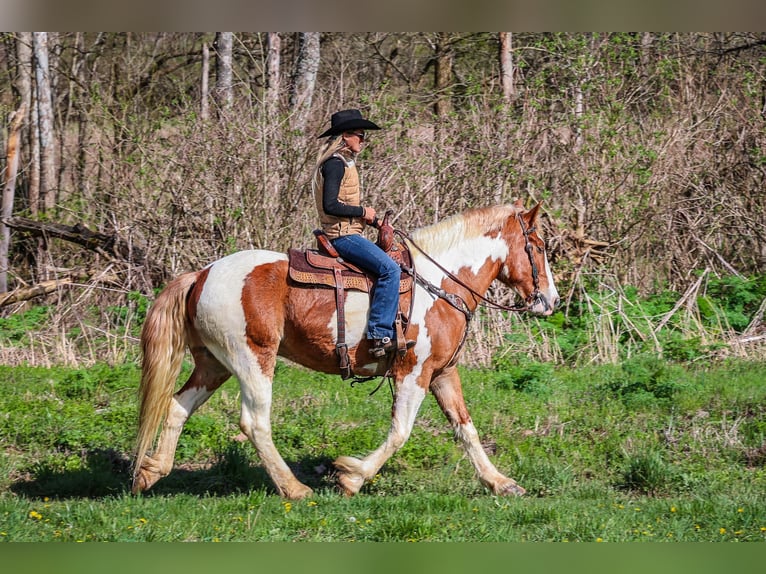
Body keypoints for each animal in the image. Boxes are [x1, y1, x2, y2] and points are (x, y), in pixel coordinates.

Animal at [132, 201, 560, 500]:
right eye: (538, 246)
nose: (551, 301)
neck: (440, 284)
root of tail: (201, 274)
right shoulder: (413, 372)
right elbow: (400, 432)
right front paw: (352, 477)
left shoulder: (441, 372)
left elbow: (465, 428)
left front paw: (500, 482)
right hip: (253, 359)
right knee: (254, 423)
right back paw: (294, 489)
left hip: (213, 364)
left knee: (177, 406)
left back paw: (150, 472)